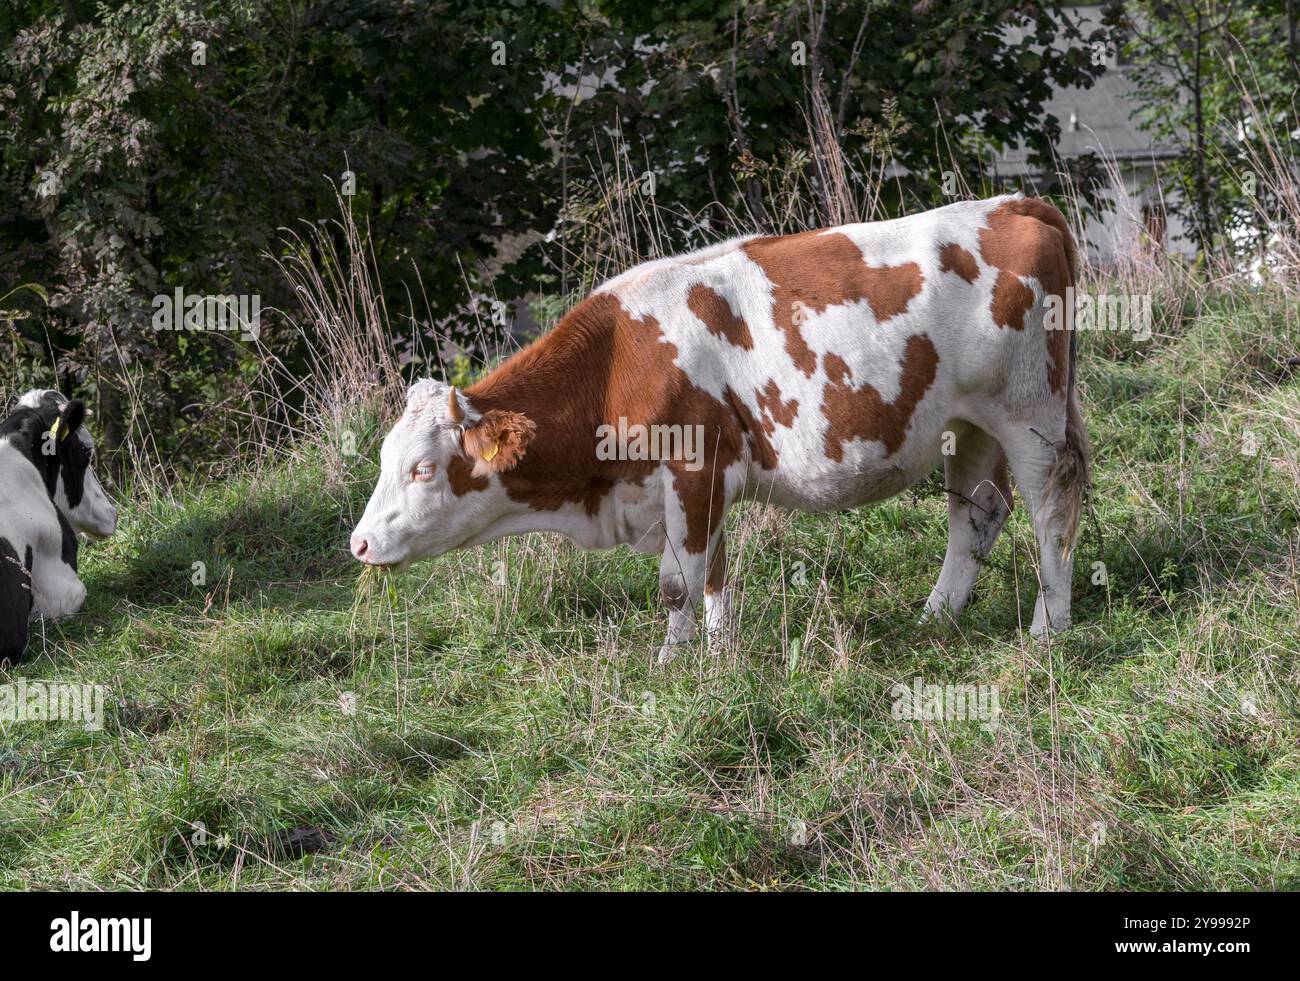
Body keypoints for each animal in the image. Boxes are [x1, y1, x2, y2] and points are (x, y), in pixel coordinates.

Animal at [353, 192, 1086, 660]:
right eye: (384, 461)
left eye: (422, 468)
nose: (359, 544)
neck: (617, 361)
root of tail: (1016, 203)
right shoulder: (697, 484)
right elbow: (712, 575)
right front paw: (718, 653)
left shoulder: (691, 467)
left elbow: (679, 580)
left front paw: (673, 664)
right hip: (967, 422)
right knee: (976, 513)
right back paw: (936, 616)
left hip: (1030, 411)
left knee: (1051, 506)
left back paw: (1049, 624)